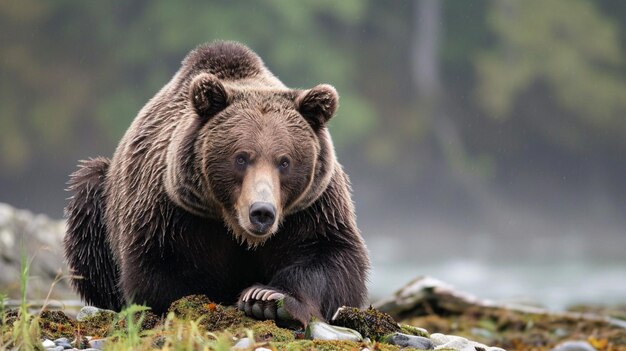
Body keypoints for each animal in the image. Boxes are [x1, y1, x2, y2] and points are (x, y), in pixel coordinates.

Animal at [62, 42, 368, 328]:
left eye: (285, 161)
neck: (233, 226)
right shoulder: (171, 211)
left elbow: (330, 256)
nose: (262, 212)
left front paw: (267, 299)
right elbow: (159, 269)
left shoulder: (312, 207)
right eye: (241, 157)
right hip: (101, 200)